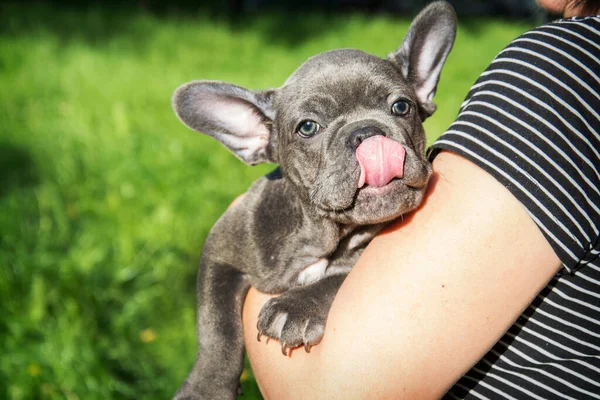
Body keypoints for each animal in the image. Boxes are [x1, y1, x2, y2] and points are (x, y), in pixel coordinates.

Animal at [170, 1, 454, 398]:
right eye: (308, 127)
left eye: (401, 107)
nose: (366, 132)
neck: (323, 235)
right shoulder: (221, 250)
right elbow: (216, 325)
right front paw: (205, 388)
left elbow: (340, 277)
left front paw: (296, 307)